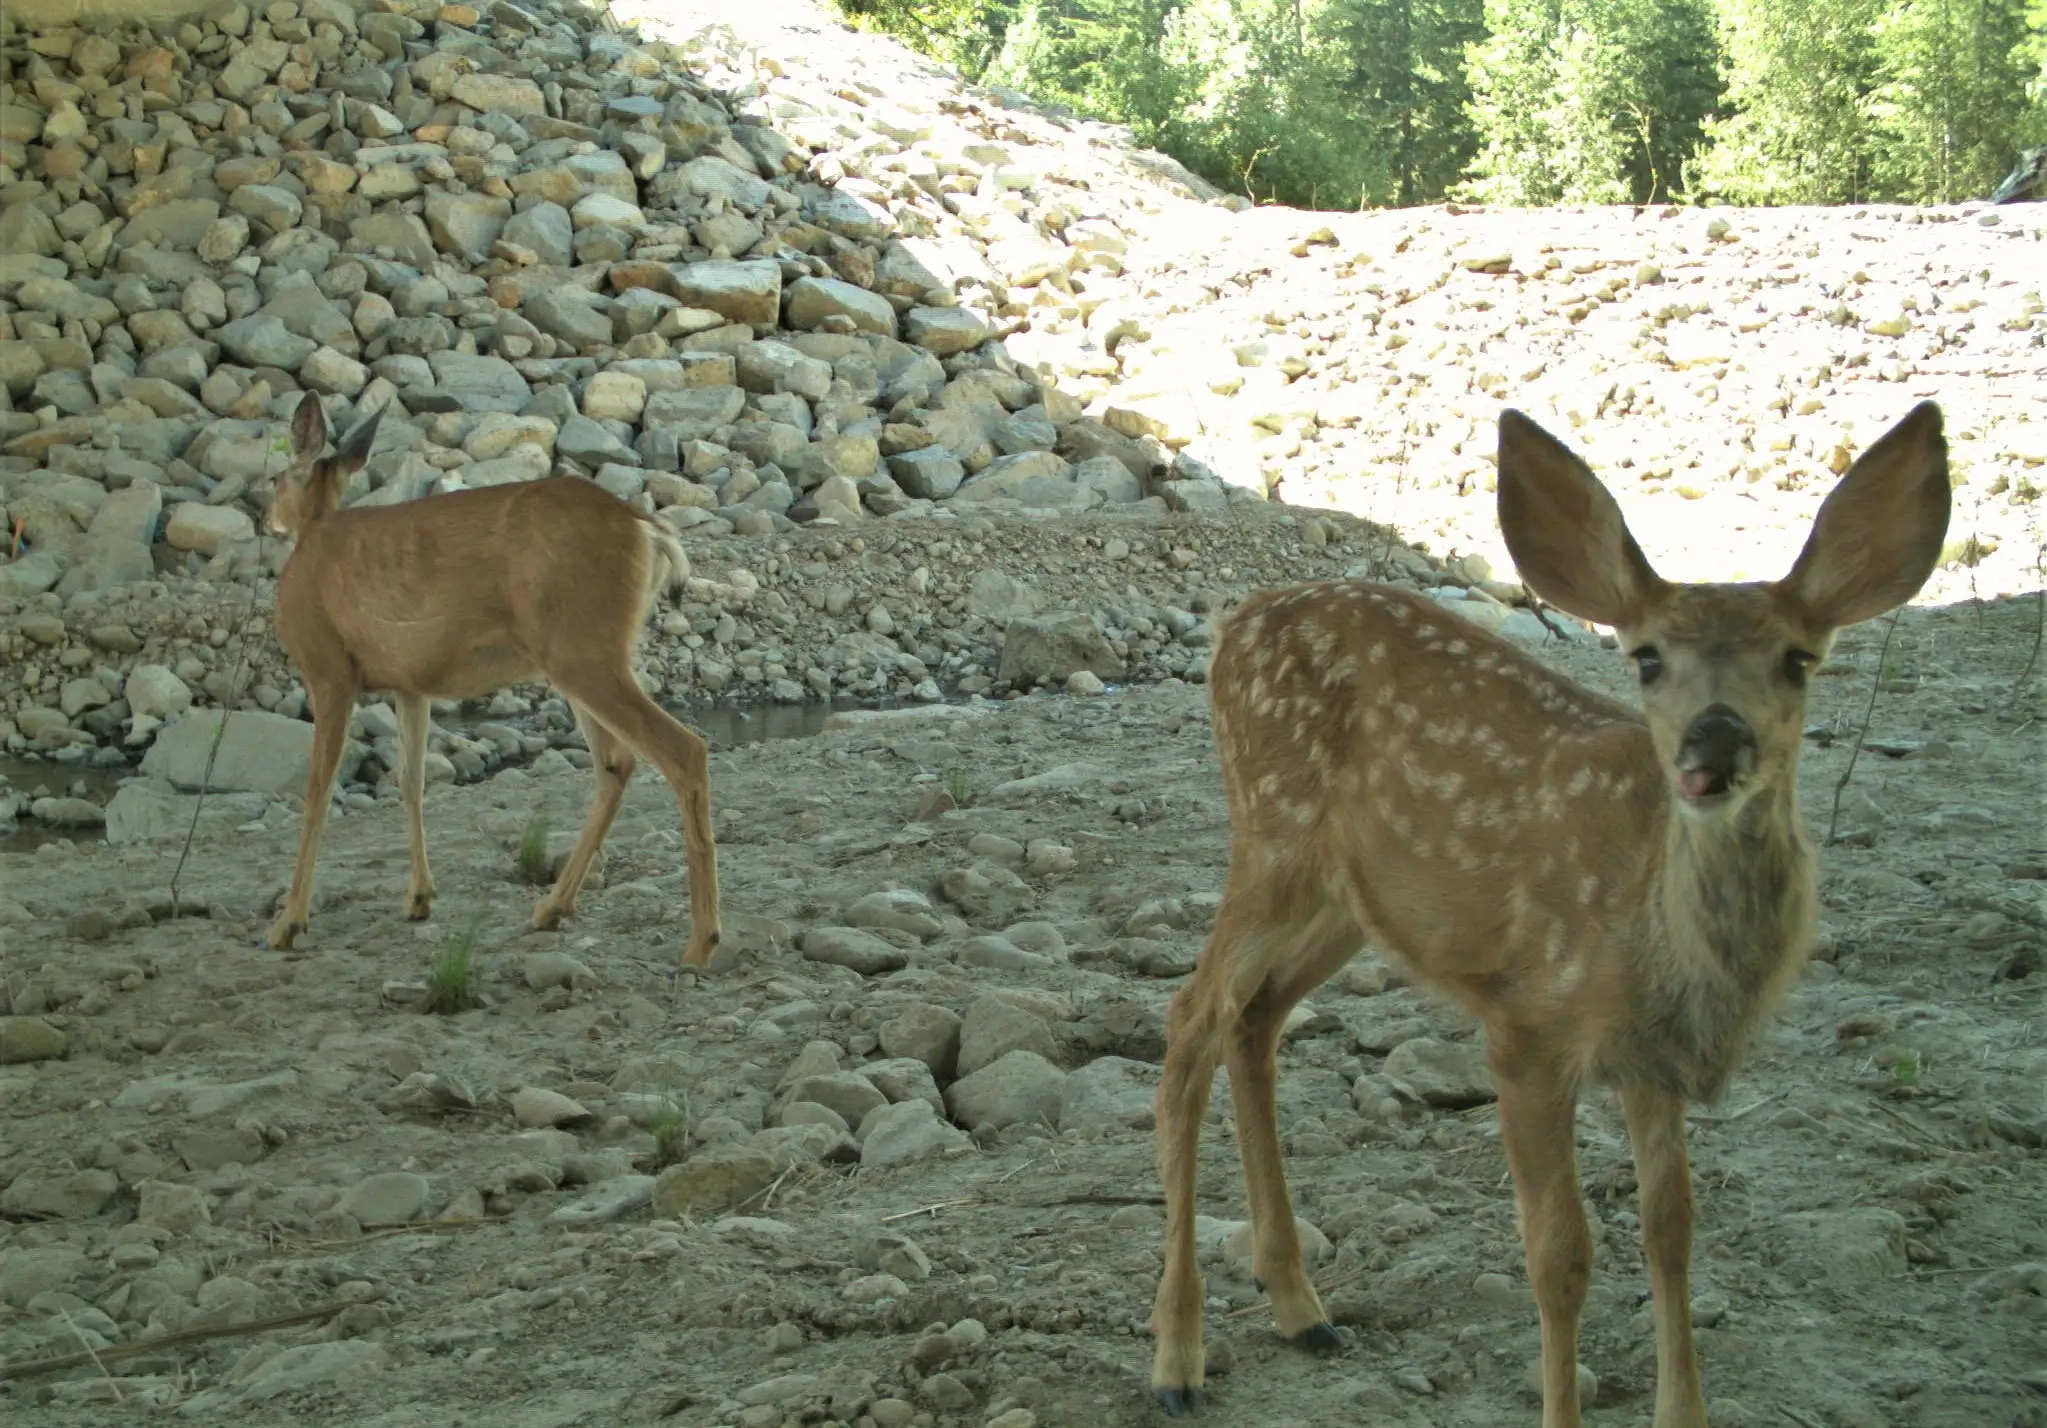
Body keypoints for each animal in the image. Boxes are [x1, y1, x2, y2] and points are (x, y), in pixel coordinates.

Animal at [261, 390, 721, 967]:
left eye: (274, 478)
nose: (265, 519)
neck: (313, 538)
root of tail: (647, 529)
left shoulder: (328, 670)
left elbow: (317, 790)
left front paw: (289, 922)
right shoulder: (410, 685)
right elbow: (410, 780)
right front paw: (419, 897)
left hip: (582, 649)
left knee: (683, 751)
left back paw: (701, 940)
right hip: (581, 655)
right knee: (617, 763)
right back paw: (551, 908)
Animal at [1149, 402, 1951, 1425]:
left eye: (1796, 660)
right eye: (1646, 658)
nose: (1715, 740)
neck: (1657, 935)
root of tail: (1236, 622)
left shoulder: (1650, 1060)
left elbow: (1671, 1229)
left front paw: (1681, 1410)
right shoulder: (1526, 1024)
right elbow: (1560, 1254)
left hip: (1346, 900)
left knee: (1253, 1021)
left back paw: (1301, 1308)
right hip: (1270, 840)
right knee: (1190, 1019)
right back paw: (1177, 1357)